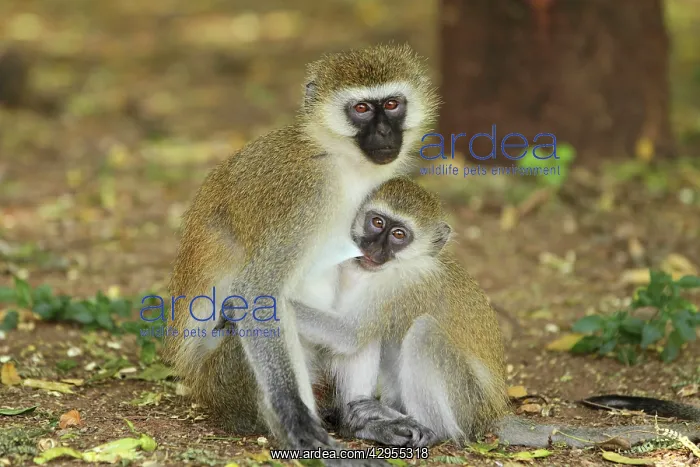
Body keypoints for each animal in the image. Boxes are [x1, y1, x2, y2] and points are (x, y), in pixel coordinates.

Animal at [161, 43, 439, 461]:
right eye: (361, 109)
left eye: (392, 104)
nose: (384, 132)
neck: (338, 159)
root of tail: (196, 381)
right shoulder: (305, 193)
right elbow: (256, 295)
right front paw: (295, 418)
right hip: (224, 382)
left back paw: (358, 419)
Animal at [291, 177, 700, 451]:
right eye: (376, 222)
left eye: (398, 235)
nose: (374, 248)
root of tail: (492, 413)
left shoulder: (403, 285)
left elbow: (350, 333)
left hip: (467, 404)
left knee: (422, 333)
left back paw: (432, 429)